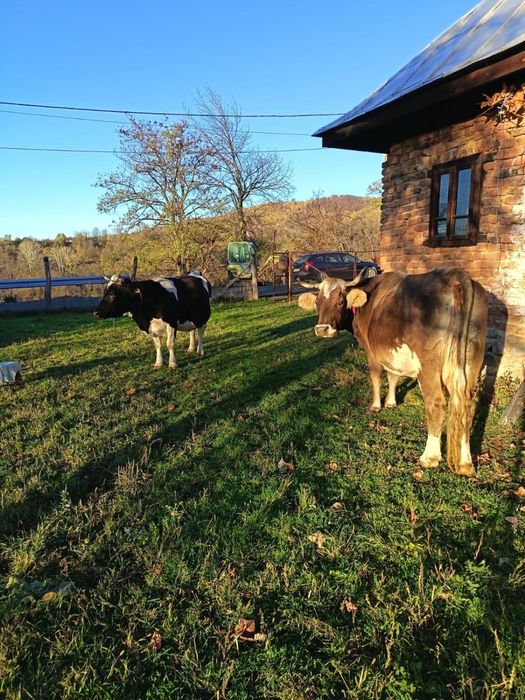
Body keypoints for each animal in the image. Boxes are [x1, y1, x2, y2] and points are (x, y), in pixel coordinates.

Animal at [298, 268, 488, 477]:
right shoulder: (390, 352)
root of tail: (454, 276)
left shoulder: (371, 350)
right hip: (471, 360)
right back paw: (465, 462)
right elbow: (393, 375)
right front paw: (390, 402)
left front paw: (376, 405)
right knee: (465, 406)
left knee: (436, 403)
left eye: (340, 301)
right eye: (317, 302)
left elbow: (376, 375)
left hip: (428, 365)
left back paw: (429, 457)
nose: (322, 329)